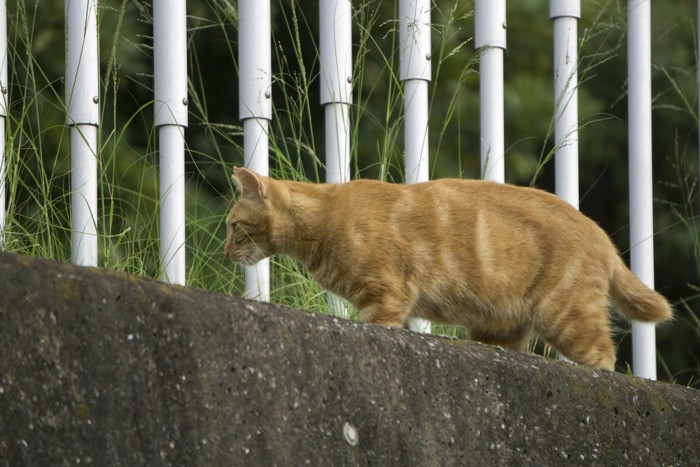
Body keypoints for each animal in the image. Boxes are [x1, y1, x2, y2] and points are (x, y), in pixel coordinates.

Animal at [224, 166, 672, 372]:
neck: (325, 217)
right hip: (498, 329)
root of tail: (600, 233)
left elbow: (377, 324)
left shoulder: (386, 297)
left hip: (567, 316)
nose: (225, 251)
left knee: (604, 358)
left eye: (233, 227)